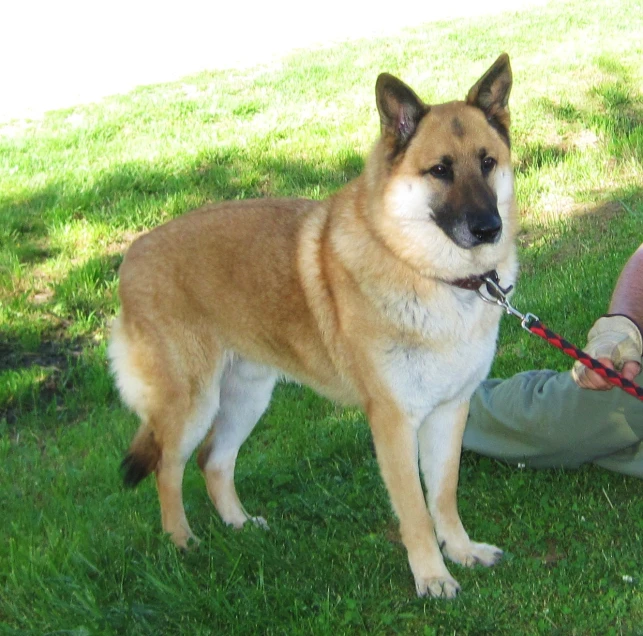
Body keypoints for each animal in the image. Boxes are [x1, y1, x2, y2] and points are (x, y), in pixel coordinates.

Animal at [107, 53, 520, 596]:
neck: (430, 272)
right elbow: (415, 512)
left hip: (246, 397)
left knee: (213, 461)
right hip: (191, 404)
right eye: (440, 171)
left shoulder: (450, 411)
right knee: (168, 468)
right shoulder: (393, 423)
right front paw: (431, 575)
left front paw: (463, 551)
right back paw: (183, 544)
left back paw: (240, 526)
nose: (489, 228)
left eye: (487, 162)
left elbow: (444, 496)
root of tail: (131, 256)